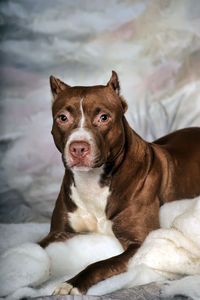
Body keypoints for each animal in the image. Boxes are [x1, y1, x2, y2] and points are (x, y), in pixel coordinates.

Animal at [38, 71, 200, 296]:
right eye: (63, 118)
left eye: (104, 117)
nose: (78, 147)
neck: (93, 182)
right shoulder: (57, 232)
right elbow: (36, 246)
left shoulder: (139, 244)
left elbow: (99, 264)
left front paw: (71, 283)